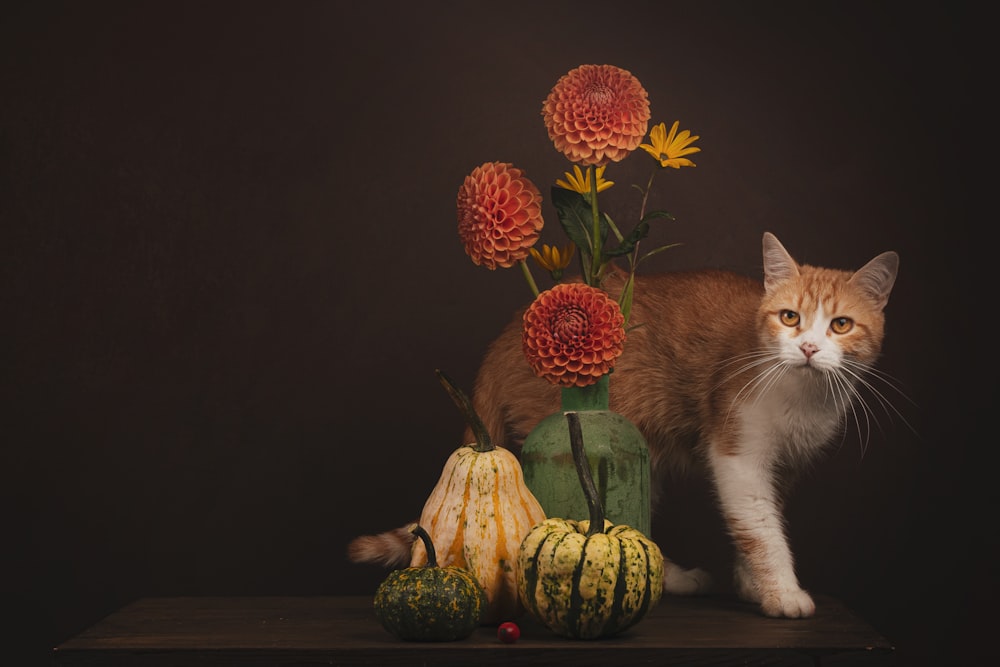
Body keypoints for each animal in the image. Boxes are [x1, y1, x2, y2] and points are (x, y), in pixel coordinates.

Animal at [350, 234, 900, 620]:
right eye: (789, 317)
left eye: (841, 325)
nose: (807, 348)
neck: (801, 394)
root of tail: (508, 336)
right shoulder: (736, 452)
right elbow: (760, 527)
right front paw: (783, 593)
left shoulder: (784, 466)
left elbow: (760, 519)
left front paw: (752, 583)